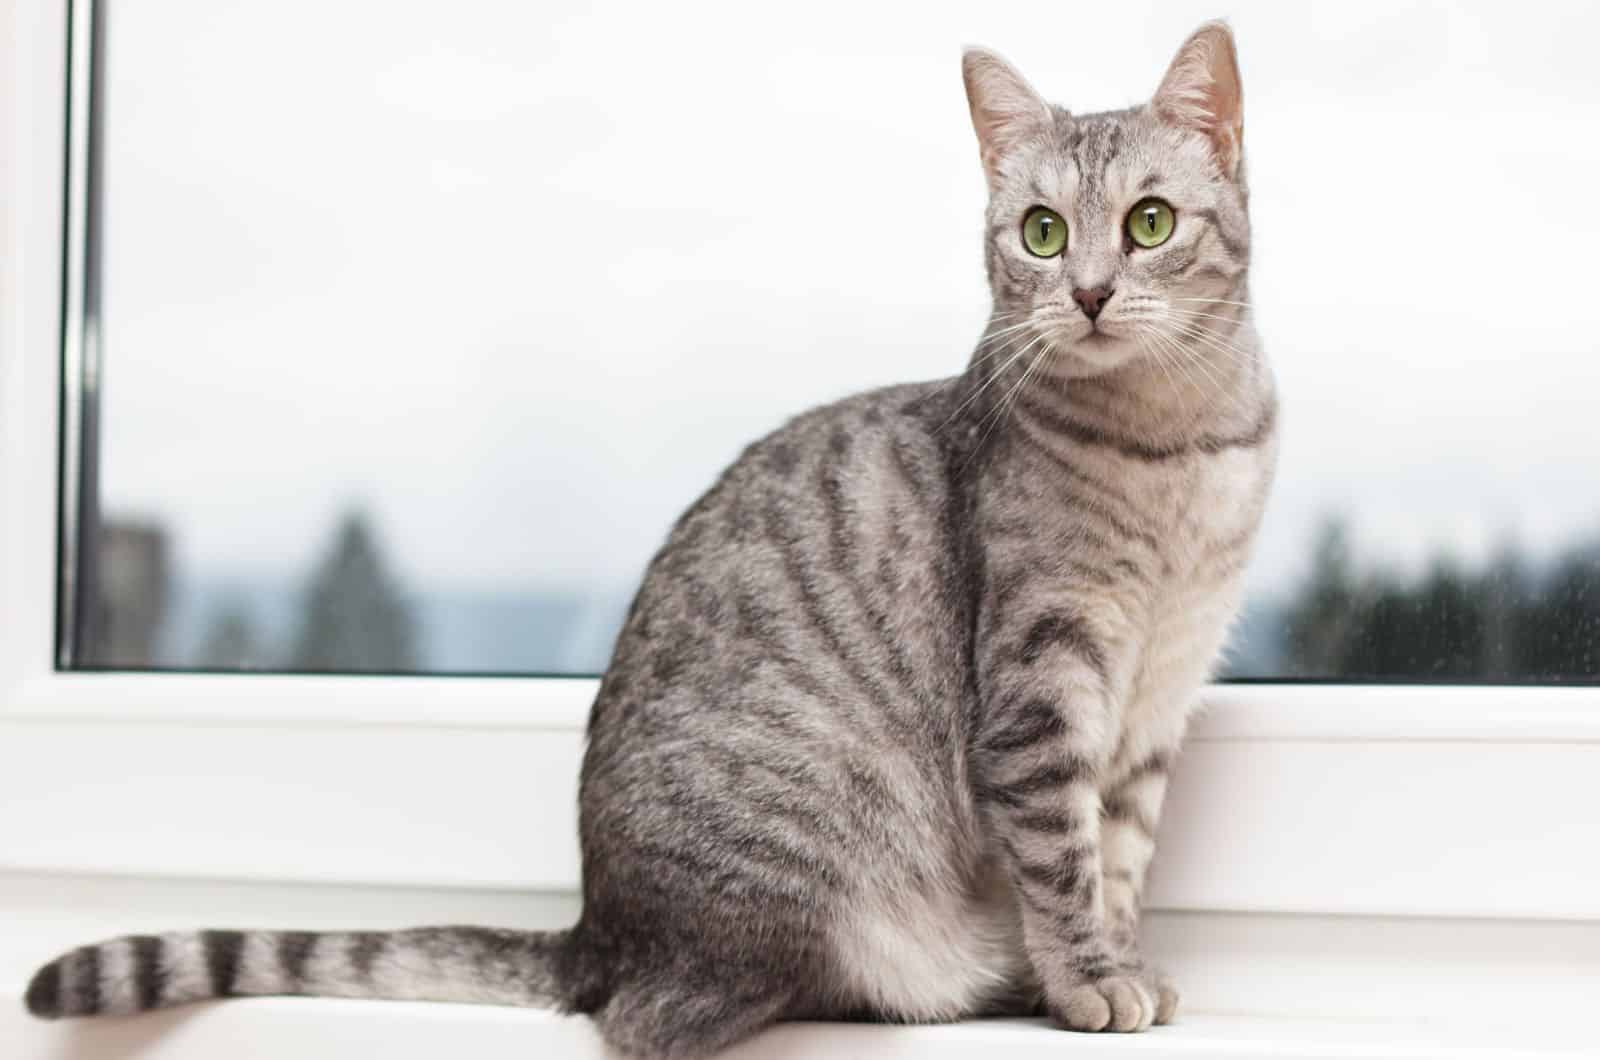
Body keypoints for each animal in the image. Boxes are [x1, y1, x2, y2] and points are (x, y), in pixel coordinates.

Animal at [21, 20, 1273, 1056]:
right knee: (654, 1015)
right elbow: (1061, 858)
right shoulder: (1038, 677)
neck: (1176, 450)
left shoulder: (1157, 697)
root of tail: (599, 925)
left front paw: (1118, 957)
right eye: (1042, 232)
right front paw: (1086, 978)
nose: (1092, 293)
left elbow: (1117, 856)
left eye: (1148, 223)